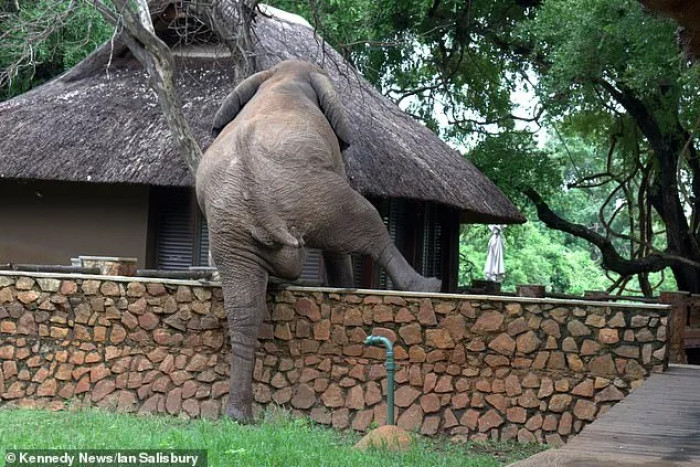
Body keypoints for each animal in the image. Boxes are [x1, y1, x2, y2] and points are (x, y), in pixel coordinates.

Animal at [196, 59, 441, 423]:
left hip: (231, 227)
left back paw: (239, 417)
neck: (283, 75)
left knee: (244, 308)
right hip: (316, 193)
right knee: (368, 222)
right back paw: (427, 286)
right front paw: (346, 288)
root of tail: (253, 184)